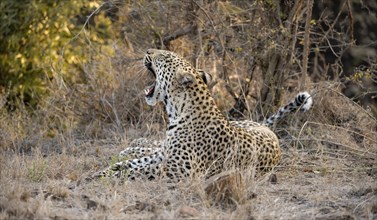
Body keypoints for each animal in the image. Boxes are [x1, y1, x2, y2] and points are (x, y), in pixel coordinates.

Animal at [94, 49, 312, 181]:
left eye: (163, 57)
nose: (148, 50)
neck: (177, 112)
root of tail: (268, 130)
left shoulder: (177, 168)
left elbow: (137, 171)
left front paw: (108, 177)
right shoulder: (165, 156)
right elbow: (131, 164)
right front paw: (103, 171)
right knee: (152, 146)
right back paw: (132, 147)